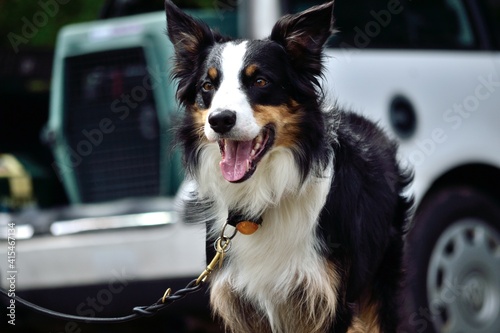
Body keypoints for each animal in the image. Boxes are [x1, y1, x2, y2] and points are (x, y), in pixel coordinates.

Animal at [166, 1, 412, 330]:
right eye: (208, 85)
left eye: (260, 81)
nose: (219, 120)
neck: (260, 198)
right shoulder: (241, 303)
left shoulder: (329, 299)